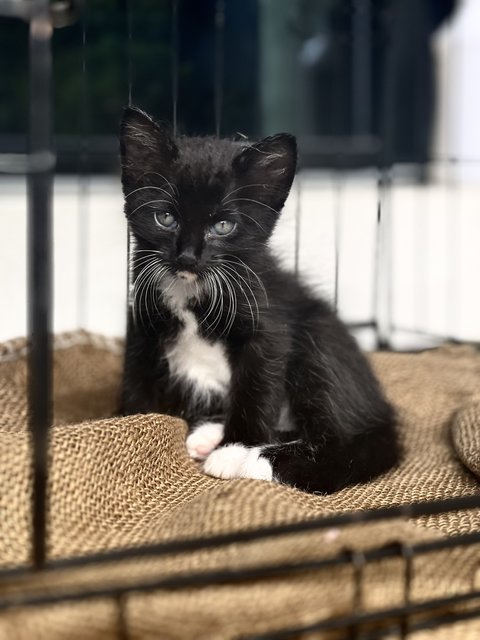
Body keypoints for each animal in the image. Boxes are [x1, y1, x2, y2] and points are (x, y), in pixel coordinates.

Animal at [119, 107, 398, 492]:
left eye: (223, 226)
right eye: (166, 218)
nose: (188, 257)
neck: (192, 292)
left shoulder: (268, 327)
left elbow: (256, 388)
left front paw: (234, 449)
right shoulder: (142, 323)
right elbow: (137, 387)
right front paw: (128, 423)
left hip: (320, 341)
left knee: (350, 442)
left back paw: (260, 461)